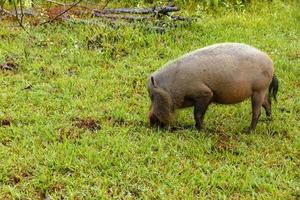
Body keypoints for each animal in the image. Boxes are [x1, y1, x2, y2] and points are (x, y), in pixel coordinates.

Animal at [148, 42, 278, 131]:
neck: (172, 86)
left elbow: (197, 114)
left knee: (257, 112)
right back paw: (269, 120)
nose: (150, 122)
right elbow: (200, 115)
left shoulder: (205, 94)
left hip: (258, 90)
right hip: (262, 91)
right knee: (267, 103)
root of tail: (271, 64)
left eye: (152, 96)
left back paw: (248, 131)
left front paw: (201, 130)